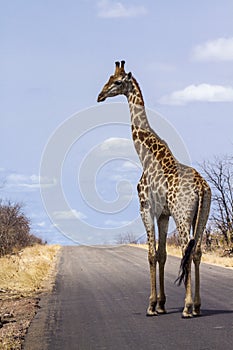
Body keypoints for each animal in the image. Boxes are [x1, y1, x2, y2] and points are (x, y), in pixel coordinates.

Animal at [96, 60, 211, 318]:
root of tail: (201, 187)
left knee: (187, 251)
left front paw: (151, 305)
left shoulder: (146, 209)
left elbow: (151, 254)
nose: (100, 95)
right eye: (108, 78)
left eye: (118, 82)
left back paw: (187, 308)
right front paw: (161, 304)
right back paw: (197, 306)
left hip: (183, 214)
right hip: (202, 215)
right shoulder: (163, 214)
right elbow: (162, 254)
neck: (146, 156)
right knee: (197, 251)